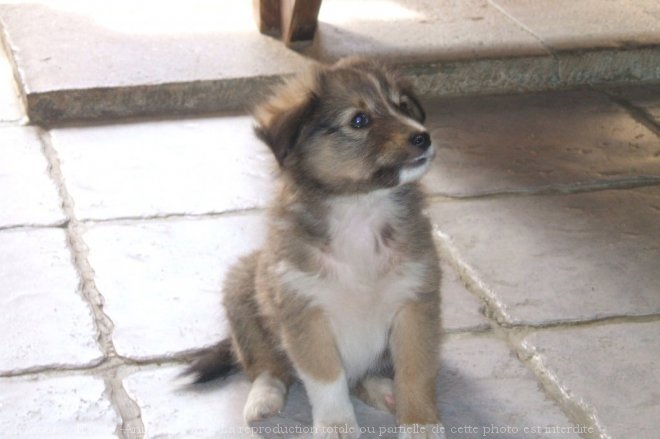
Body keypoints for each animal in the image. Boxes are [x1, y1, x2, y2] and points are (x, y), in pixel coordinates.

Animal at [186, 58, 444, 439]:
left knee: (363, 376)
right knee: (268, 366)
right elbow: (326, 377)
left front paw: (420, 424)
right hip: (241, 292)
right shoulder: (304, 312)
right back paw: (263, 398)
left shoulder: (415, 303)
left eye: (402, 106)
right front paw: (336, 425)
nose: (423, 137)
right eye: (359, 120)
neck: (359, 208)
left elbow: (415, 370)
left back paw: (384, 390)